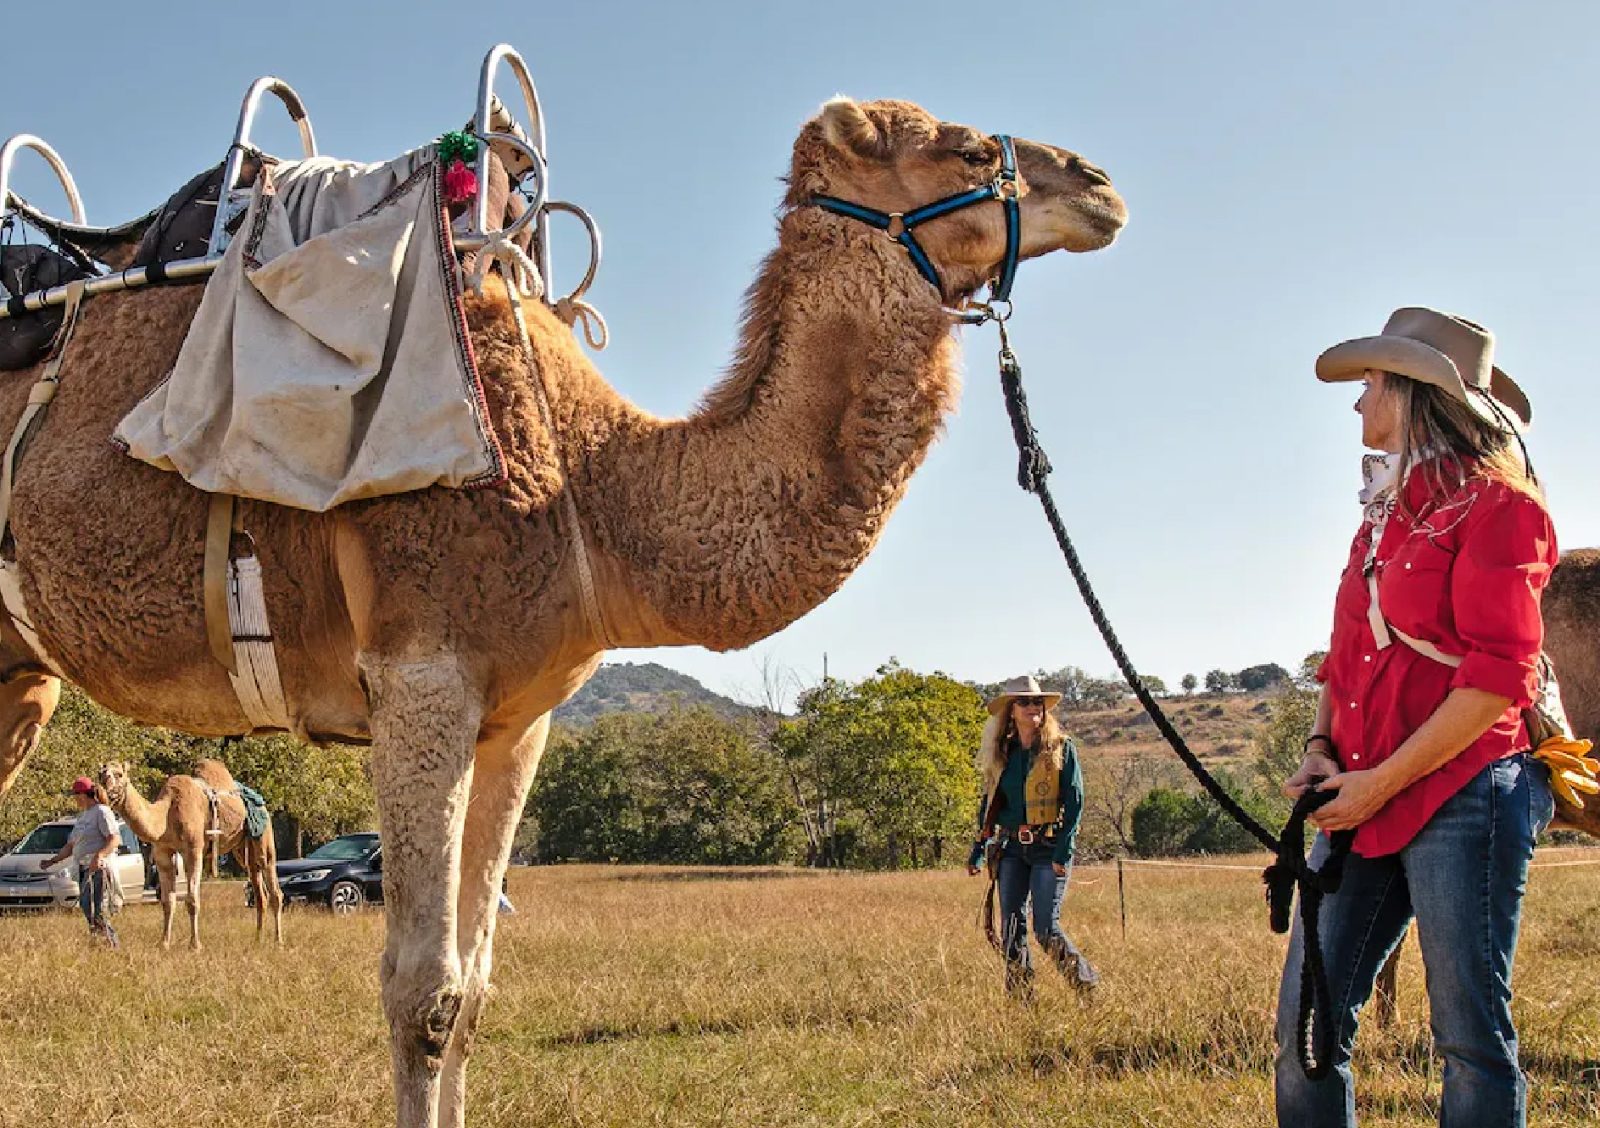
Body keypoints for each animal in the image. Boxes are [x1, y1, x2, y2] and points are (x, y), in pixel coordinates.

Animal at [98, 758, 285, 948]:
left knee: (275, 888)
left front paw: (195, 945)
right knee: (260, 892)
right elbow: (168, 901)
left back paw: (278, 941)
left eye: (119, 774)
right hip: (242, 849)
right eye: (101, 774)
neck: (166, 815)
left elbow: (192, 900)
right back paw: (258, 939)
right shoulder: (162, 853)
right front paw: (164, 943)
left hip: (264, 836)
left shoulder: (193, 850)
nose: (102, 793)